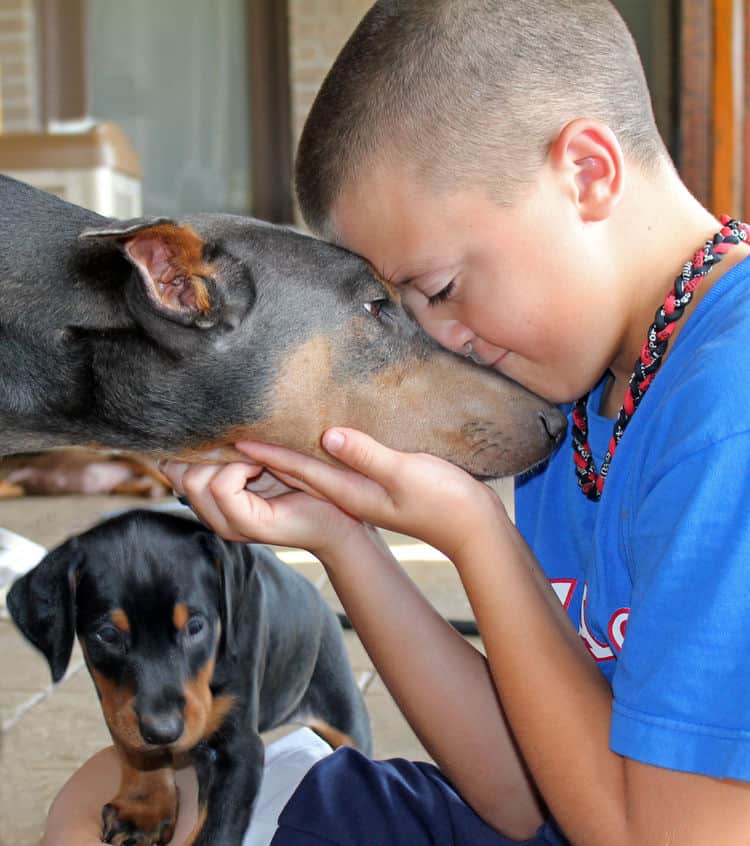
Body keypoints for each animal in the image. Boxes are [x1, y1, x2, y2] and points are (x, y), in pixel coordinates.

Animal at [5, 510, 370, 846]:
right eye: (106, 634)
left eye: (196, 626)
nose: (164, 732)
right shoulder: (116, 704)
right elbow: (136, 750)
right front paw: (144, 810)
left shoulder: (239, 750)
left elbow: (214, 832)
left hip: (341, 703)